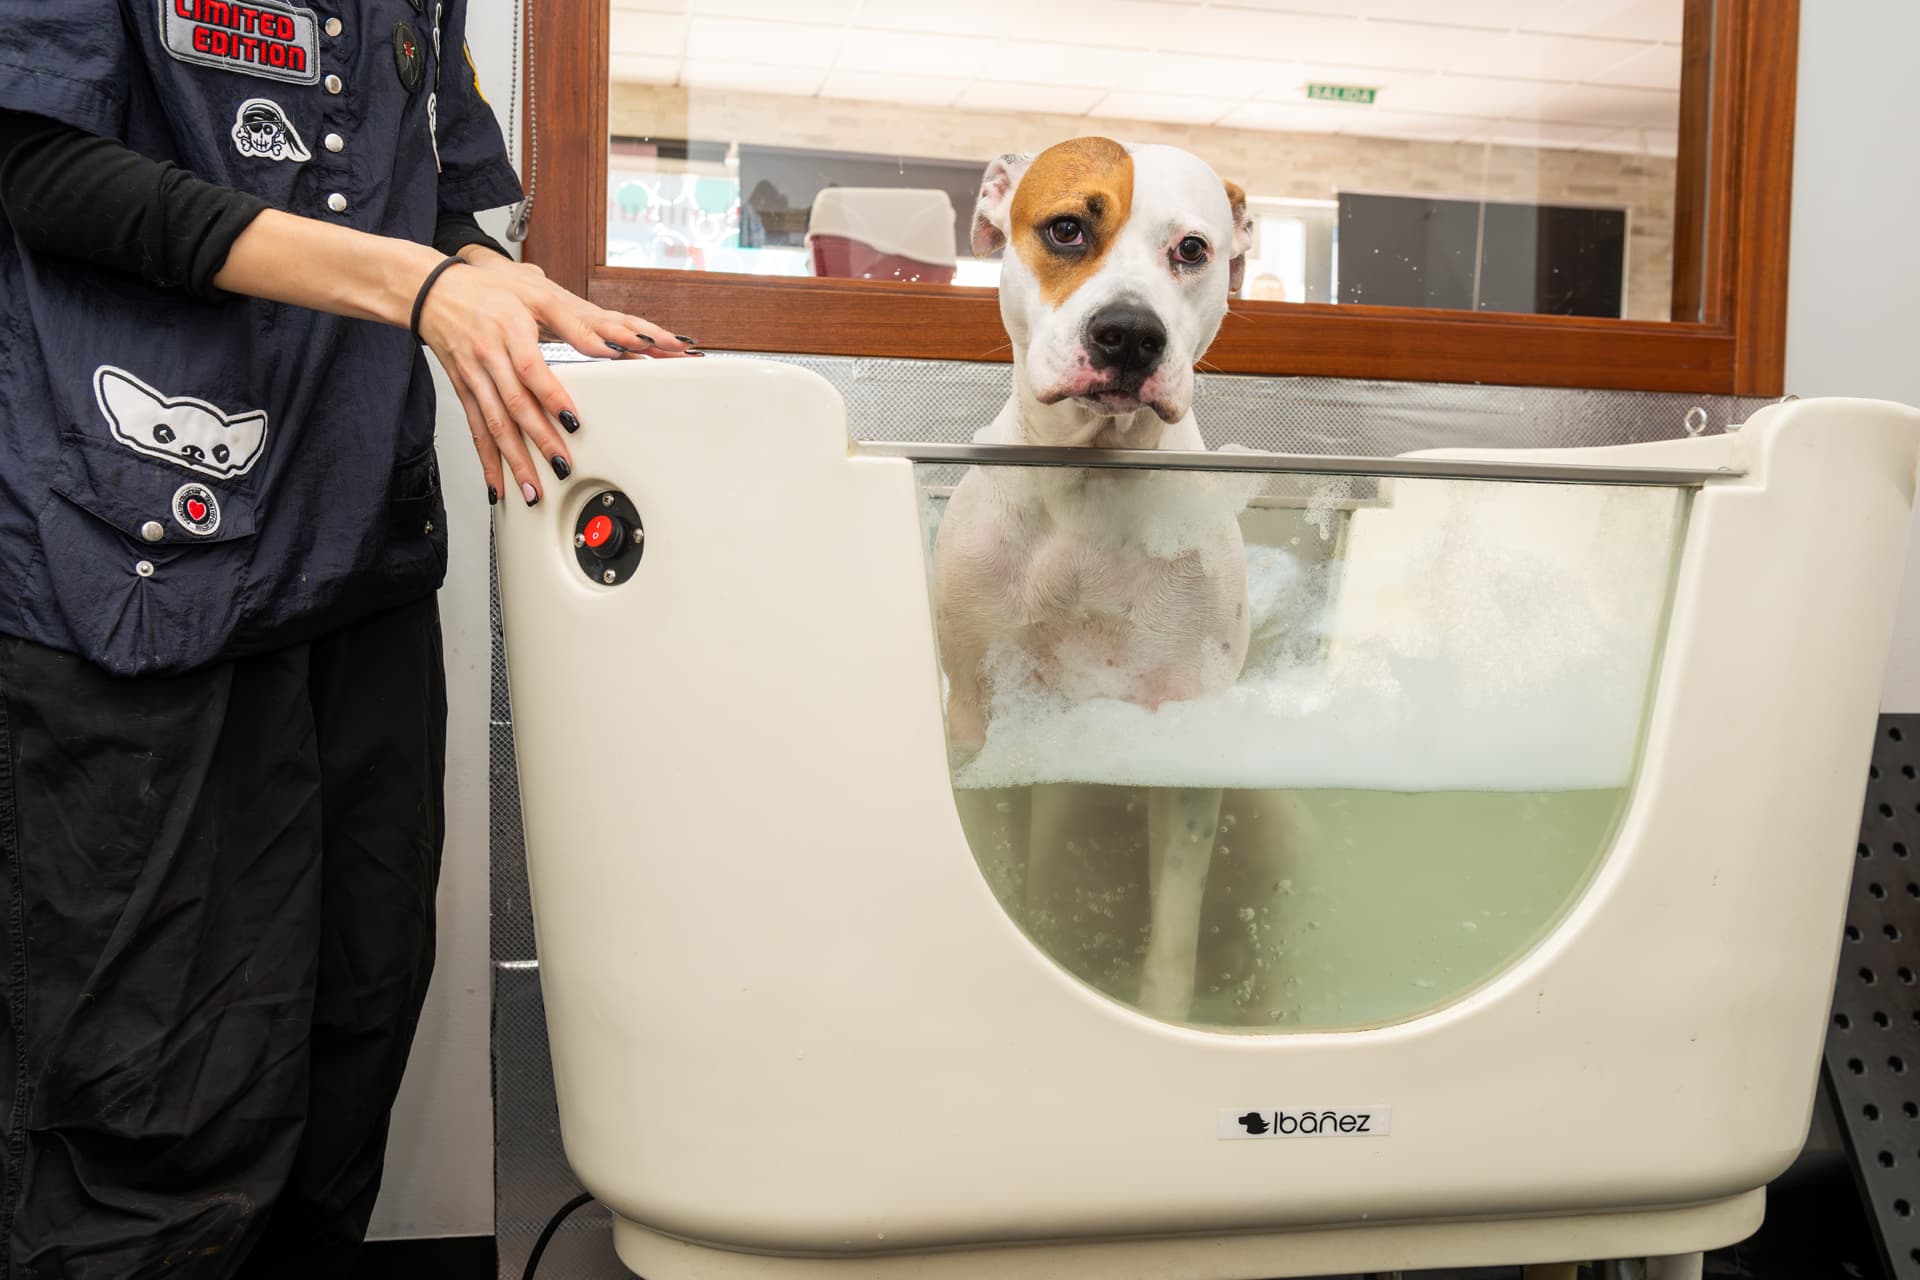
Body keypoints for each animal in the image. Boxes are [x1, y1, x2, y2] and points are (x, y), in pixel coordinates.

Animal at [929, 140, 1259, 1020]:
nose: (1130, 335)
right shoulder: (979, 724)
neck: (1089, 476)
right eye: (1068, 229)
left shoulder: (1184, 738)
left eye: (1192, 249)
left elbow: (1174, 923)